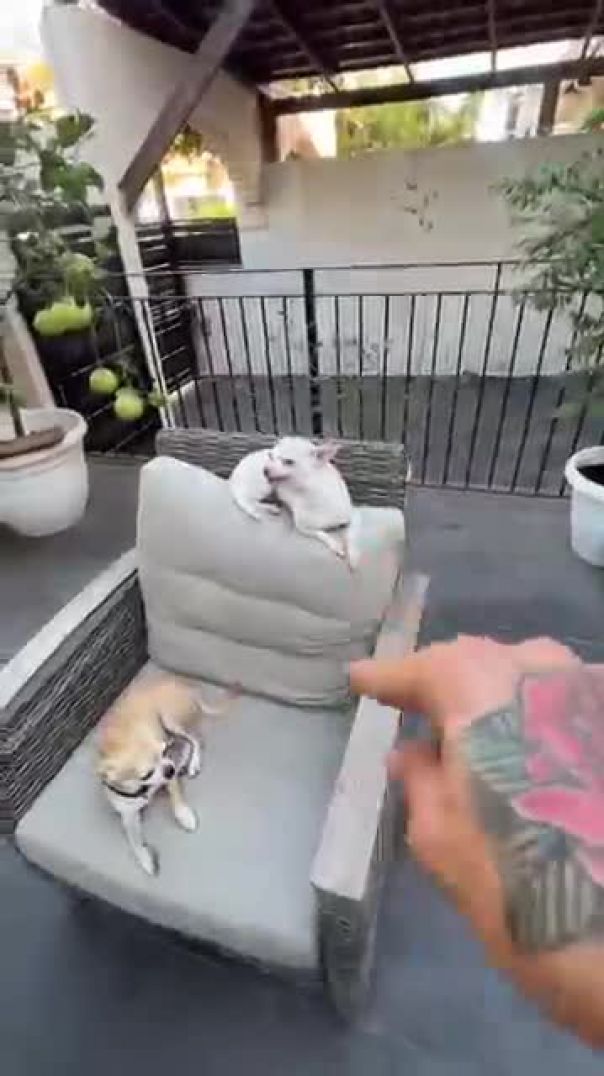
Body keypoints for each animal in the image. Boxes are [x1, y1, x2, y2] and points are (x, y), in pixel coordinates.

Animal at [97, 676, 237, 876]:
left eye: (164, 752)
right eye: (146, 773)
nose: (170, 768)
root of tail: (185, 685)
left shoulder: (170, 778)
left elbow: (176, 799)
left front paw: (185, 816)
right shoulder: (128, 817)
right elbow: (135, 843)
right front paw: (146, 860)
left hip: (170, 719)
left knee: (194, 739)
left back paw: (192, 762)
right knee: (185, 741)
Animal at [229, 436, 359, 568]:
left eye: (289, 462)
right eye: (270, 456)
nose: (265, 469)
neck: (313, 494)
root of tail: (233, 476)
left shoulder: (347, 520)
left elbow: (351, 536)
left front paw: (353, 558)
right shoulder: (304, 528)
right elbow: (322, 534)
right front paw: (335, 545)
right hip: (264, 487)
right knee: (247, 499)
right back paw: (270, 508)